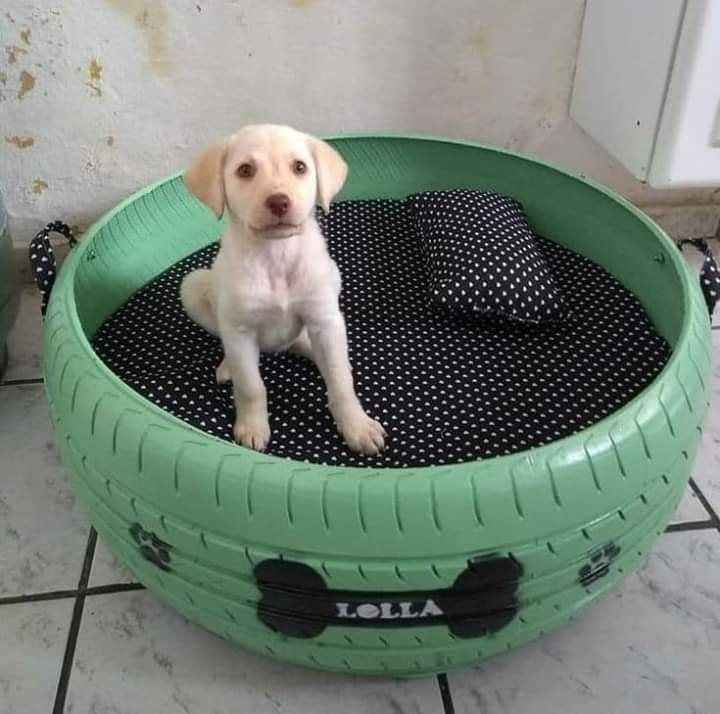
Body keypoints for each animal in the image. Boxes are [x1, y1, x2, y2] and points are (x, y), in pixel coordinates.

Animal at [180, 124, 388, 456]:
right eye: (245, 170)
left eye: (300, 167)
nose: (279, 202)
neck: (275, 256)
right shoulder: (240, 330)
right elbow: (251, 386)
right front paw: (253, 427)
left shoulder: (324, 319)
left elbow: (340, 381)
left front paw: (357, 426)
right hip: (194, 286)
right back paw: (228, 367)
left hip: (331, 286)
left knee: (317, 348)